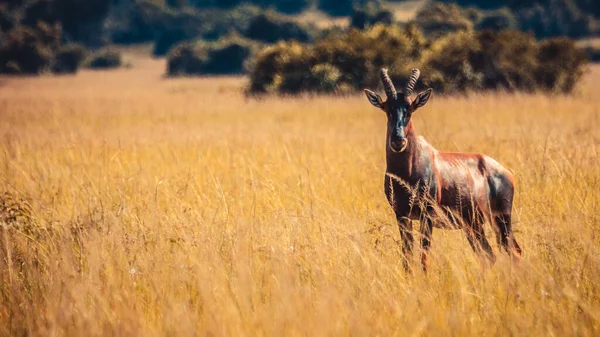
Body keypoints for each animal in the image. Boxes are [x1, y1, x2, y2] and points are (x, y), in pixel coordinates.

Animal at [364, 67, 524, 270]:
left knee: (514, 251)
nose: (398, 141)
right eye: (387, 108)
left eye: (410, 109)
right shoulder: (401, 216)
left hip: (501, 220)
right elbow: (407, 256)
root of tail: (506, 173)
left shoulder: (427, 216)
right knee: (489, 255)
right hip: (474, 225)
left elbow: (424, 256)